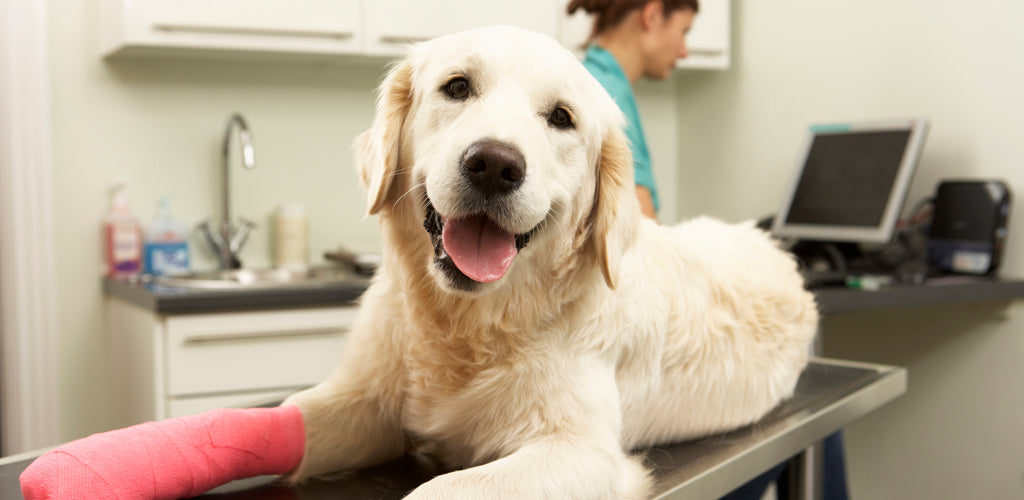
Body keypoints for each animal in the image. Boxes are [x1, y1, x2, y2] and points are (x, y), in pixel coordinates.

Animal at [282, 27, 815, 500]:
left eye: (561, 117)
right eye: (457, 87)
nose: (494, 165)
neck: (469, 324)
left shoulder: (583, 452)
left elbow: (444, 489)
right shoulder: (367, 400)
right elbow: (293, 414)